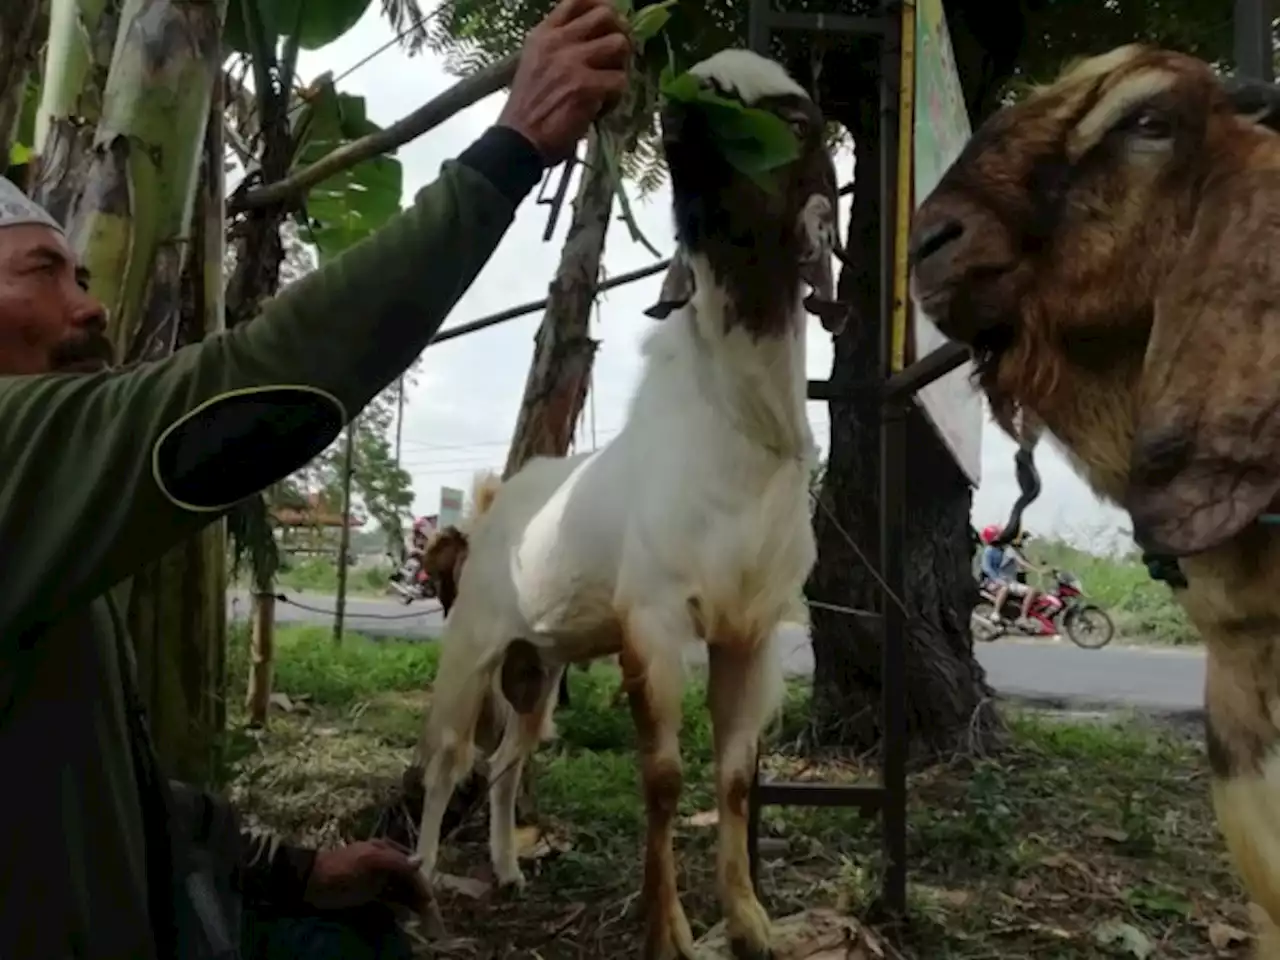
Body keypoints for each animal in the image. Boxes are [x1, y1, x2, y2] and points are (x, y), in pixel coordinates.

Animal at [417, 50, 849, 960]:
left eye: (797, 118)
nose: (687, 100)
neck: (740, 432)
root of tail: (500, 500)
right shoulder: (652, 618)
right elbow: (663, 776)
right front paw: (667, 931)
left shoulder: (751, 630)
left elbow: (734, 777)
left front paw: (750, 923)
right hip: (471, 641)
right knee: (446, 758)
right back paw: (426, 878)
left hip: (537, 665)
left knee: (507, 760)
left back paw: (507, 867)